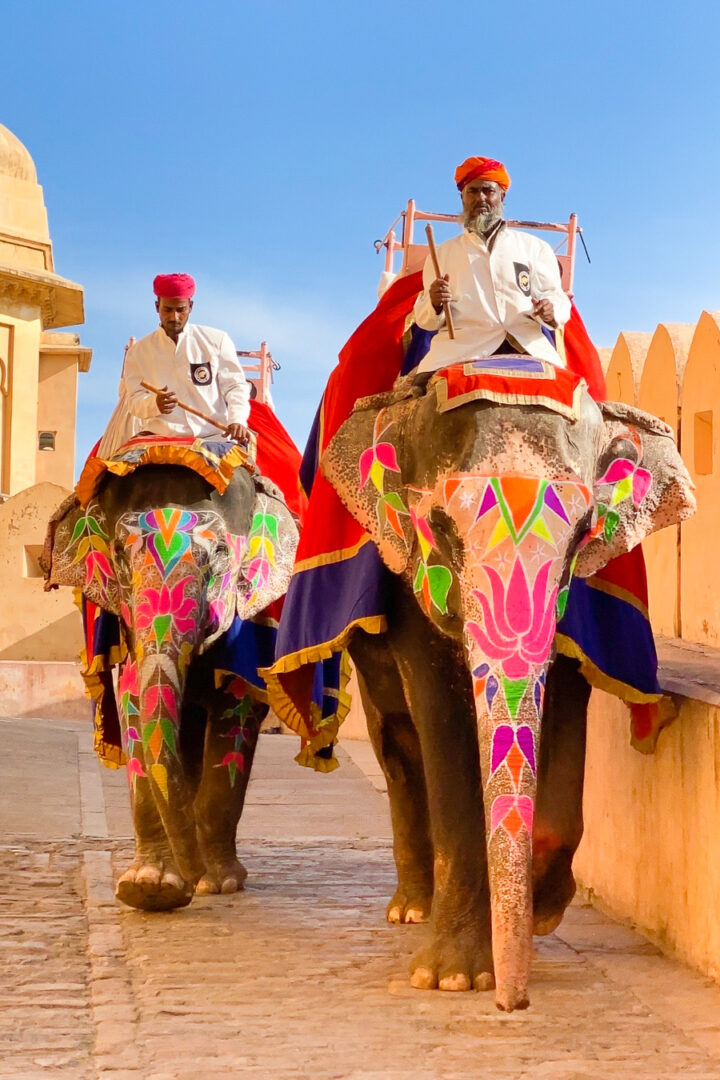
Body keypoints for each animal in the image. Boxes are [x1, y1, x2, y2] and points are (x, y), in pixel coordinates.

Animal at [45, 455, 297, 911]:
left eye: (218, 554)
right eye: (120, 557)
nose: (192, 876)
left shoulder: (249, 630)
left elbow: (237, 711)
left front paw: (218, 883)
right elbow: (133, 696)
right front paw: (150, 888)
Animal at [323, 365, 695, 1010]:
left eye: (585, 531)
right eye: (440, 527)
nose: (513, 1004)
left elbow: (569, 691)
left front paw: (541, 910)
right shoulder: (410, 580)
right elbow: (440, 715)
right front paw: (451, 978)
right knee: (397, 741)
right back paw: (412, 910)